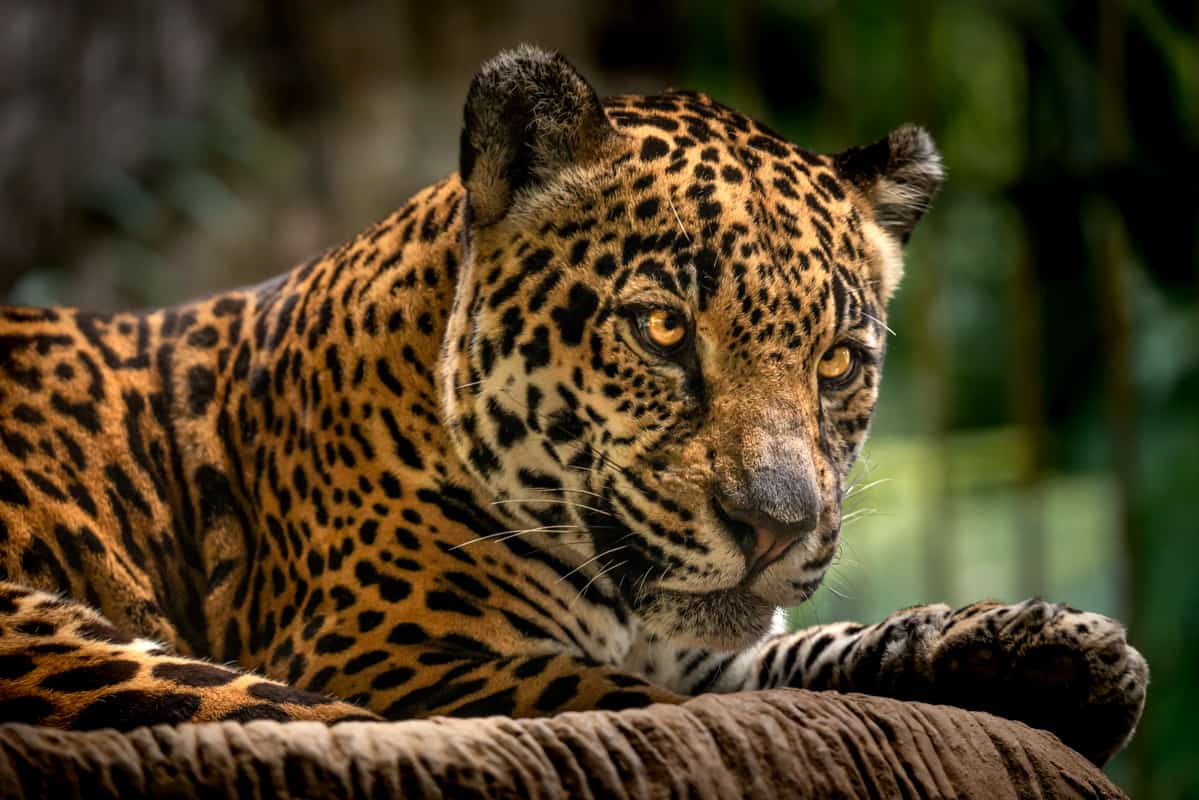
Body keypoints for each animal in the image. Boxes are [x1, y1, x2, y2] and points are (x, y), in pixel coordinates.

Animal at [0, 46, 1146, 765]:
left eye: (833, 363)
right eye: (662, 329)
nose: (775, 527)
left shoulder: (699, 645)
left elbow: (799, 663)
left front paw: (1047, 649)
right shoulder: (401, 656)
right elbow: (666, 709)